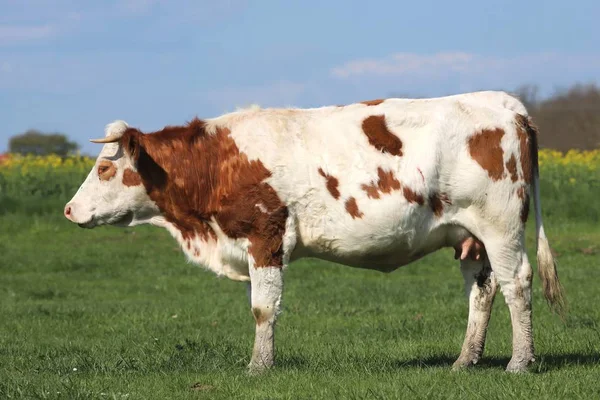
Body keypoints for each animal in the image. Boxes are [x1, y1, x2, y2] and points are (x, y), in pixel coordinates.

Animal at [64, 90, 564, 372]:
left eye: (105, 167)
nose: (69, 210)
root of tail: (506, 103)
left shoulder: (265, 235)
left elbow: (263, 309)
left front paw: (258, 368)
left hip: (500, 226)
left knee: (517, 284)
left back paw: (520, 362)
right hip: (470, 237)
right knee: (482, 291)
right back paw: (464, 361)